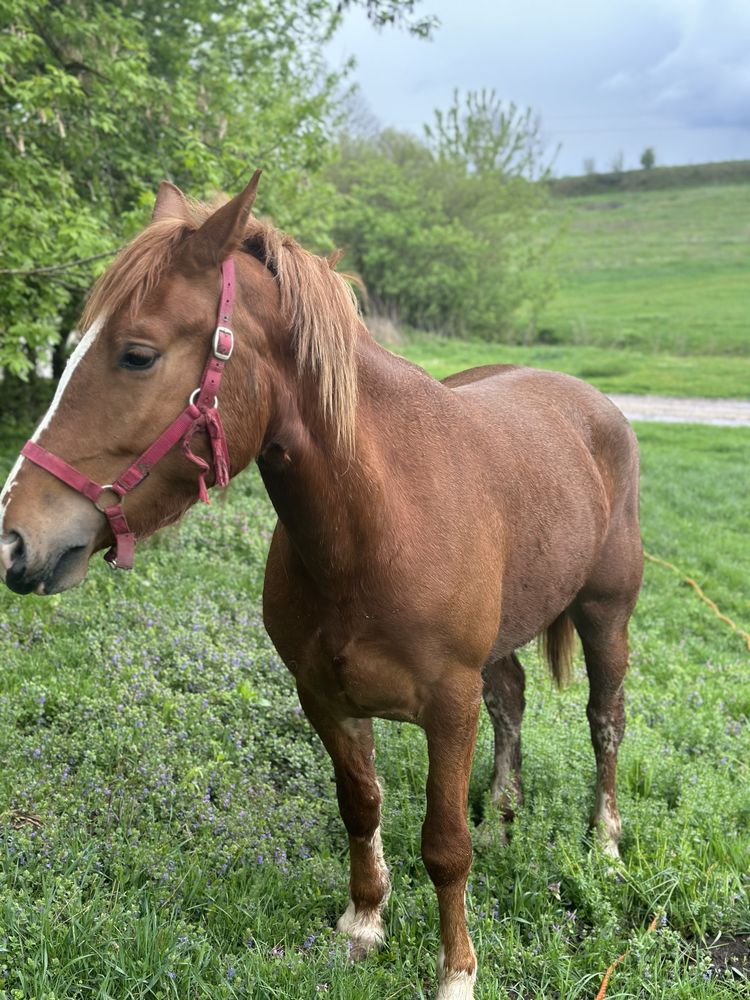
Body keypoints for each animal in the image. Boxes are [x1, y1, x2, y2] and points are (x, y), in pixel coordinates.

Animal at [1, 176, 648, 996]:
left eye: (137, 355)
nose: (15, 540)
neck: (378, 524)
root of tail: (593, 404)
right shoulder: (326, 697)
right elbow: (361, 806)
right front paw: (365, 923)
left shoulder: (448, 706)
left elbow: (444, 843)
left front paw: (456, 971)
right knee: (513, 702)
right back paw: (504, 819)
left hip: (606, 615)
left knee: (605, 721)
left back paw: (605, 843)